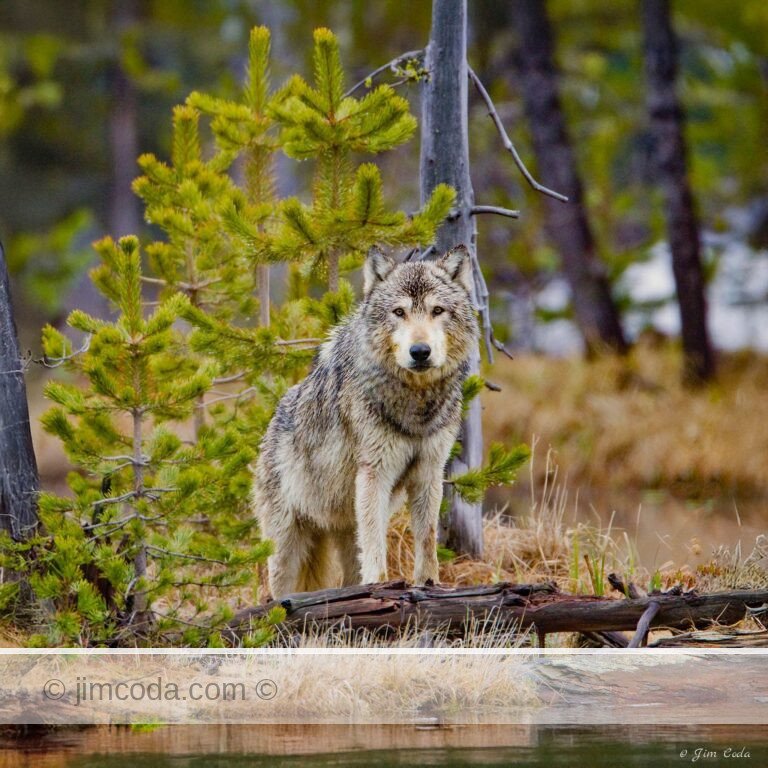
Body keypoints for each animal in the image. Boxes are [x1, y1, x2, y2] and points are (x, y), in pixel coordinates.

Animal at [252, 245, 478, 597]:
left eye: (437, 310)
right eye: (399, 312)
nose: (420, 351)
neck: (415, 405)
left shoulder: (429, 472)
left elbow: (427, 540)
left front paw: (430, 586)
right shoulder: (376, 472)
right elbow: (376, 544)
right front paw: (380, 586)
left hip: (343, 530)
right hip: (287, 549)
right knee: (276, 592)